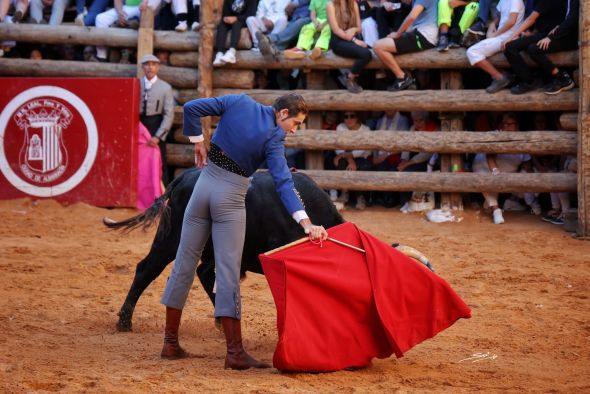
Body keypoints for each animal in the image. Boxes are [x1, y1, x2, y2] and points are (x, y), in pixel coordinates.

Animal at [106, 168, 346, 330]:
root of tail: (187, 175)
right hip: (172, 239)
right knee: (146, 269)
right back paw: (124, 321)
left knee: (203, 273)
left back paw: (223, 320)